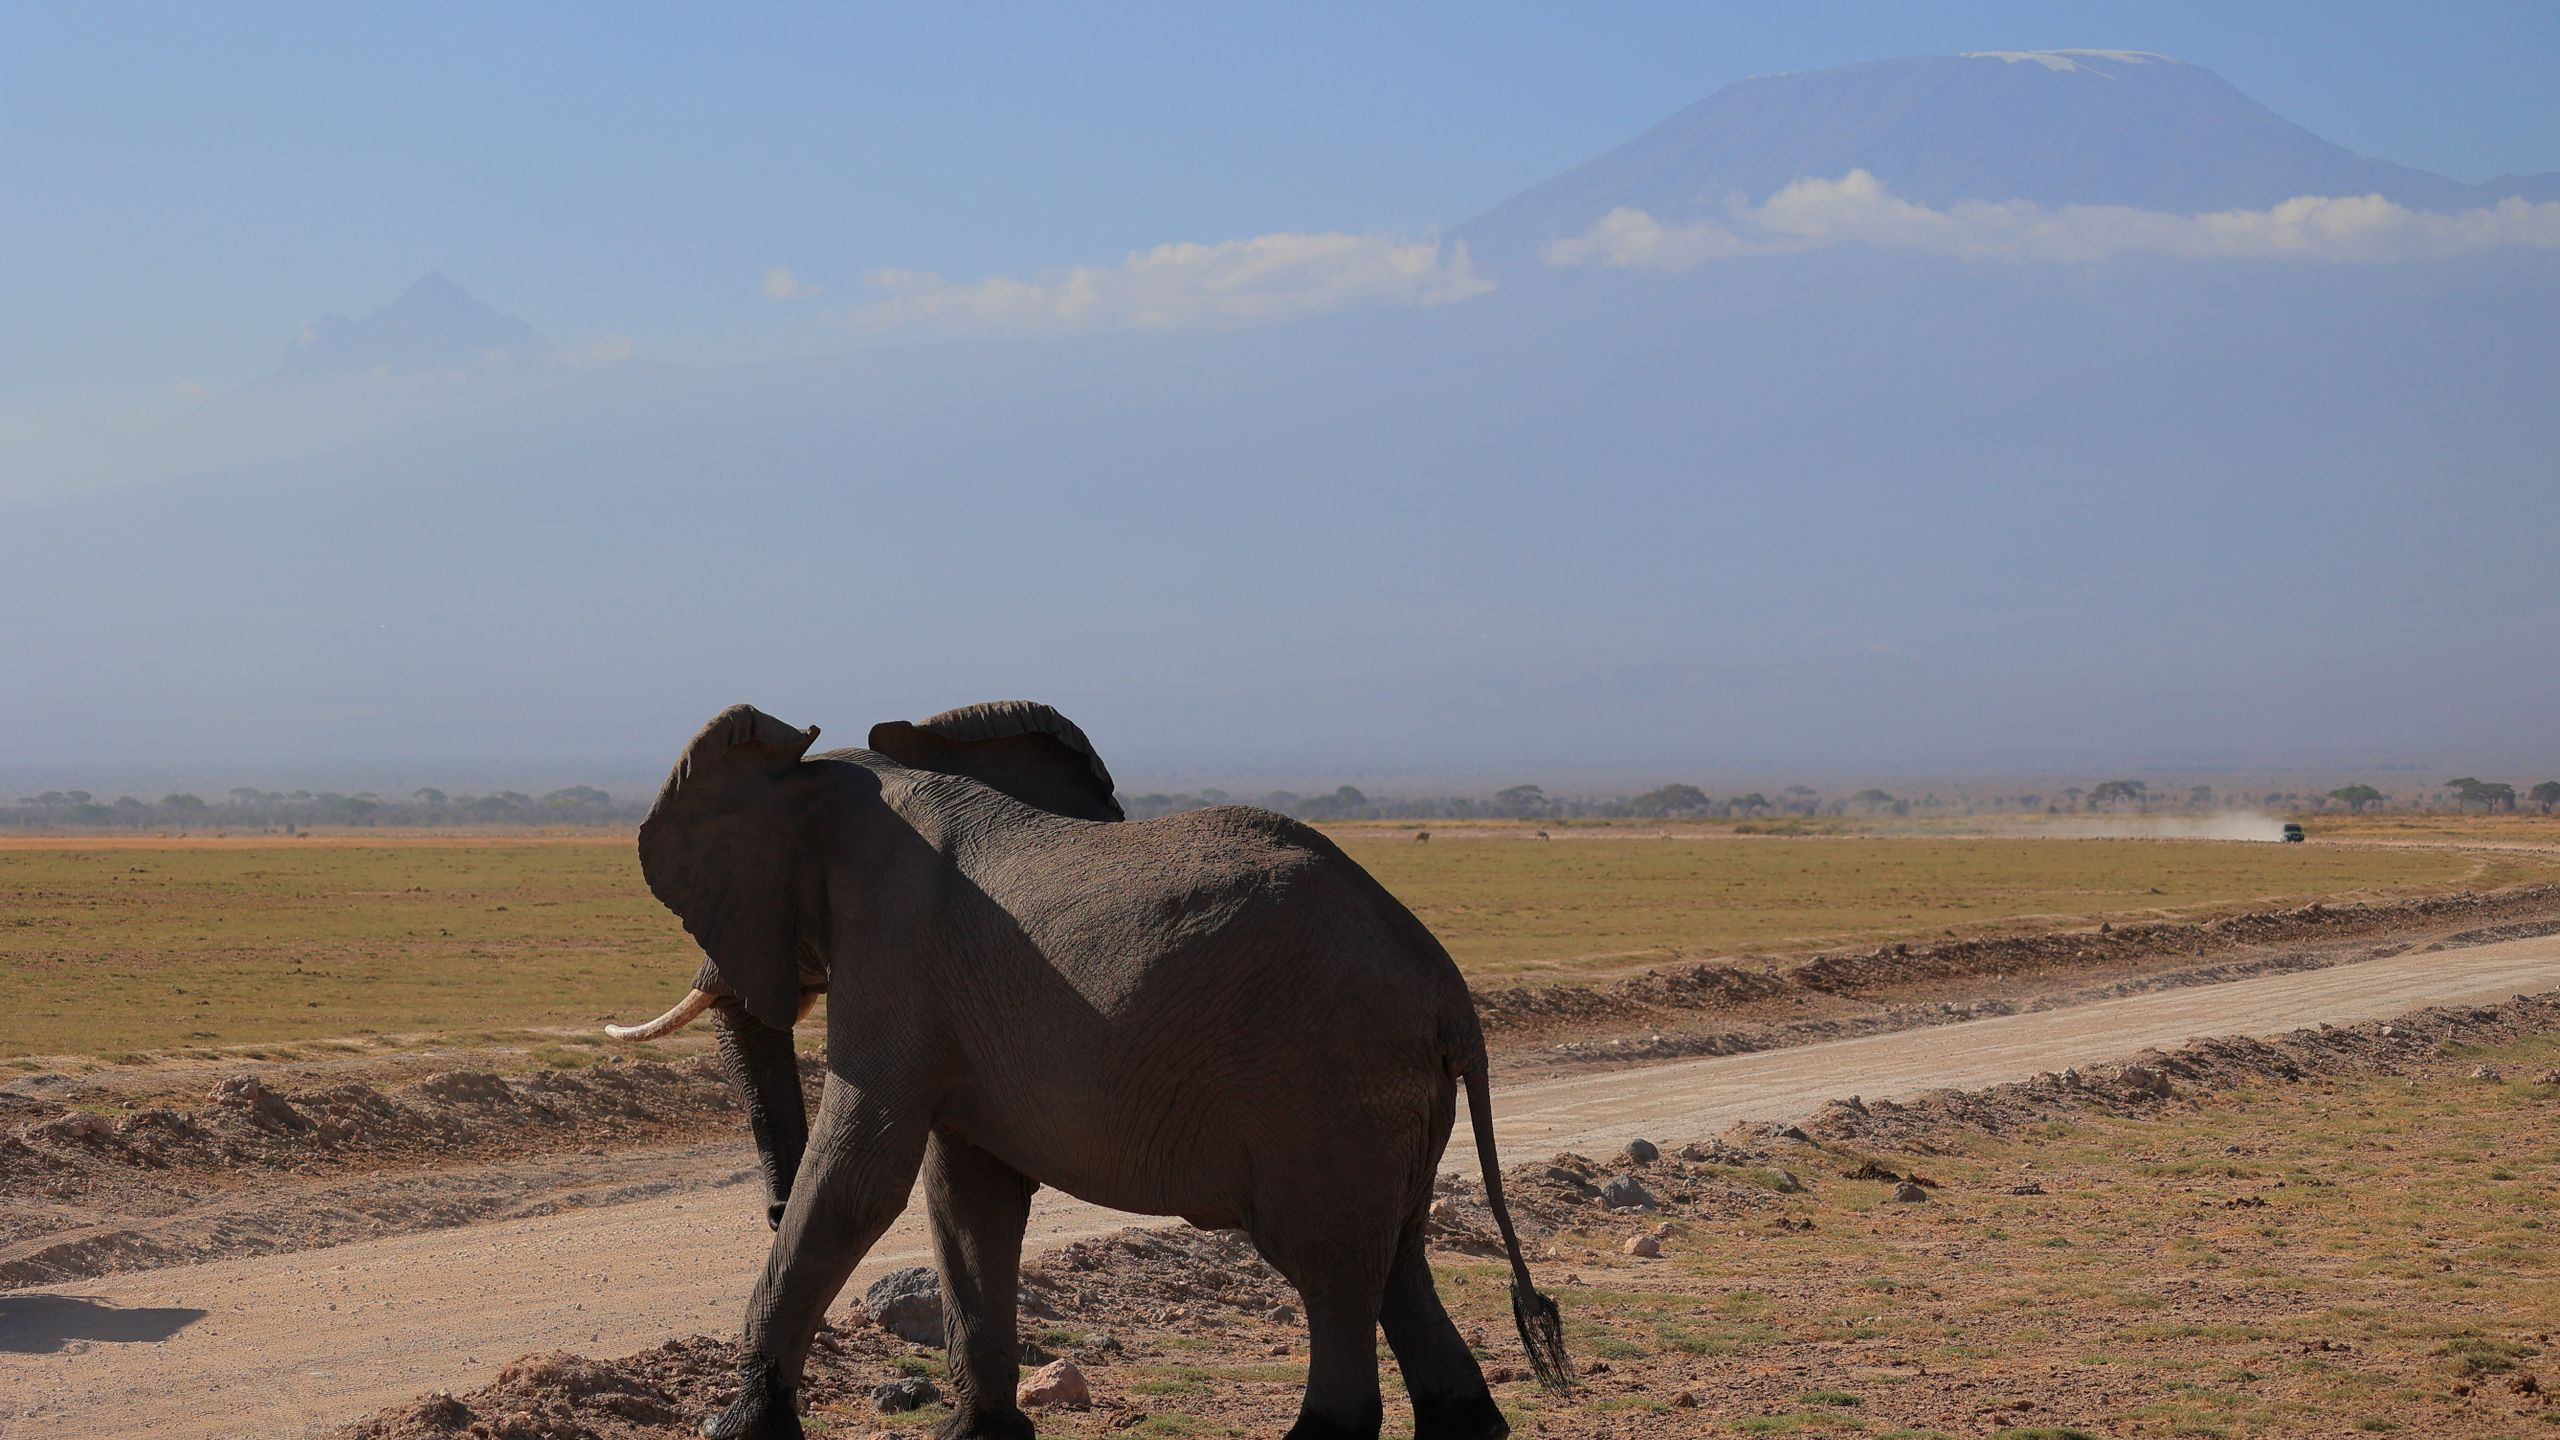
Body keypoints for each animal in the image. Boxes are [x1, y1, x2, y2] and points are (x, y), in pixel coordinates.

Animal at [606, 701, 1567, 1440]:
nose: (768, 1209)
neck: (845, 776)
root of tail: (1447, 988)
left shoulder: (893, 954)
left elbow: (860, 1178)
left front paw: (730, 1428)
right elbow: (968, 1194)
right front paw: (978, 1434)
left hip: (1329, 1090)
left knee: (1331, 1268)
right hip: (1389, 1103)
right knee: (1396, 1260)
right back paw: (1469, 1422)